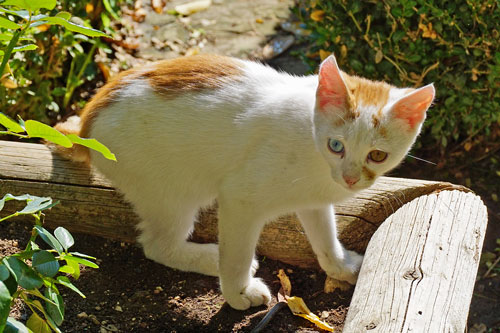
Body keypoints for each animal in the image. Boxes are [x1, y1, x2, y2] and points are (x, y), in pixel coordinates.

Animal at [55, 52, 434, 308]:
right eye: (336, 146)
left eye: (377, 155)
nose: (351, 179)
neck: (312, 144)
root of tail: (87, 121)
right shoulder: (239, 198)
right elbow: (236, 255)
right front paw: (238, 293)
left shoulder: (314, 199)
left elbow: (325, 238)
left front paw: (339, 267)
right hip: (170, 189)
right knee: (157, 245)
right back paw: (213, 259)